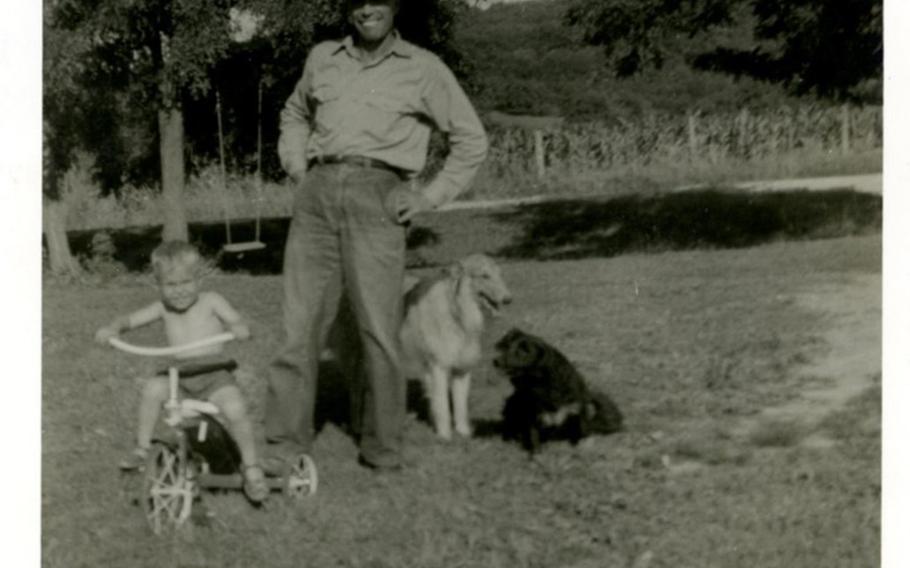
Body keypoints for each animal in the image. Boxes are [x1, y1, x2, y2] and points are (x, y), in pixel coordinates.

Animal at [400, 255, 512, 442]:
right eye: (484, 276)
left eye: (500, 274)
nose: (508, 300)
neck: (456, 313)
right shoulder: (439, 368)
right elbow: (443, 406)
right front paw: (445, 436)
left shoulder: (461, 370)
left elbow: (460, 407)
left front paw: (463, 433)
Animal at [496, 328, 624, 452]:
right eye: (507, 347)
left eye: (525, 351)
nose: (496, 361)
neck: (544, 384)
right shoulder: (532, 413)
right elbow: (534, 437)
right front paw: (536, 454)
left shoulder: (577, 409)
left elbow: (581, 431)